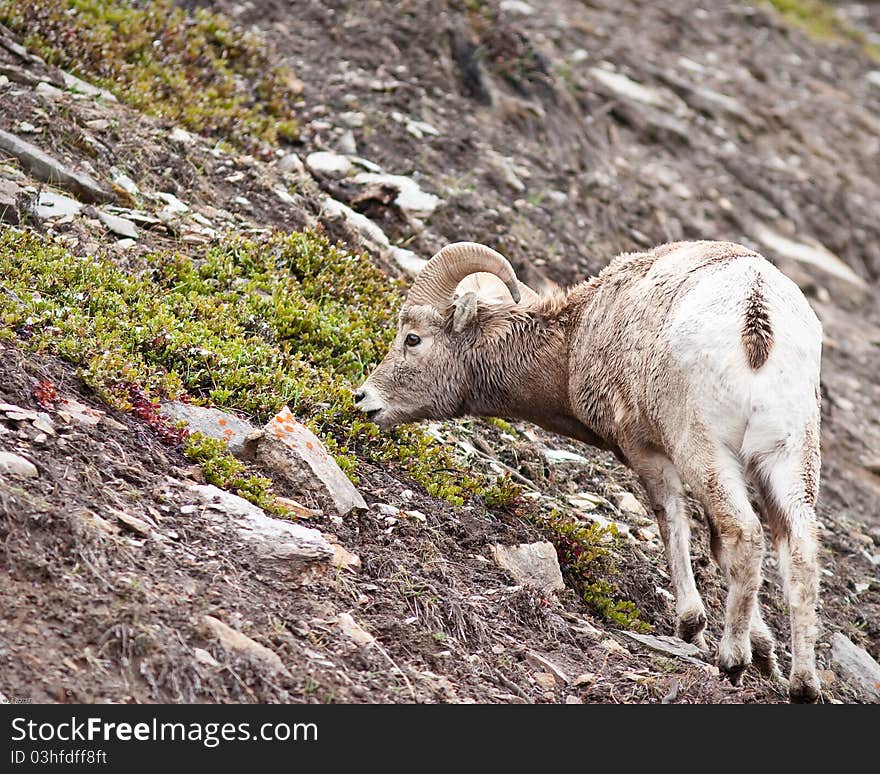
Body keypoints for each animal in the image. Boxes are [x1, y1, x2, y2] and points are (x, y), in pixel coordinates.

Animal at [354, 241, 820, 704]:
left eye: (412, 339)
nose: (362, 400)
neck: (573, 342)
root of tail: (755, 313)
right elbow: (716, 547)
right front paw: (765, 652)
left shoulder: (645, 449)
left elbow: (673, 520)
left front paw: (692, 626)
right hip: (788, 462)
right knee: (799, 553)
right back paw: (802, 684)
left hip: (703, 448)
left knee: (745, 534)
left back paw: (733, 661)